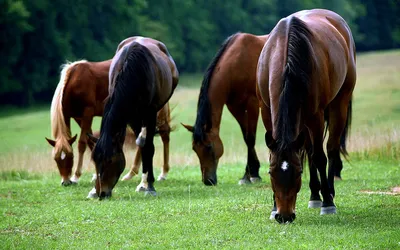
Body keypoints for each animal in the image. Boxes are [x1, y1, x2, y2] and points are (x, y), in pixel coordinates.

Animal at [46, 59, 173, 187]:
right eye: (56, 159)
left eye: (71, 156)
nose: (66, 182)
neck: (74, 82)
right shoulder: (76, 117)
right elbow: (91, 142)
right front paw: (95, 174)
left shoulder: (87, 113)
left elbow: (82, 143)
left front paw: (76, 176)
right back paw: (131, 173)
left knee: (164, 133)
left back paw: (163, 173)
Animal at [90, 36, 179, 199]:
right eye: (95, 160)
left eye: (110, 160)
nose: (102, 193)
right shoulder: (130, 116)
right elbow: (141, 144)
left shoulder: (150, 113)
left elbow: (148, 146)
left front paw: (149, 185)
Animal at [184, 32, 270, 186]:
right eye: (194, 148)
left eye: (209, 146)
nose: (208, 181)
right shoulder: (235, 107)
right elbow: (246, 137)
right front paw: (248, 174)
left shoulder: (252, 104)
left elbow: (250, 138)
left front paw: (252, 175)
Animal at [256, 9, 356, 224]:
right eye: (271, 172)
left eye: (298, 172)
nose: (284, 216)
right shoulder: (266, 111)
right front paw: (273, 207)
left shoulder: (316, 116)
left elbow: (319, 157)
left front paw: (328, 203)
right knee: (309, 150)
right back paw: (314, 196)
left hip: (339, 104)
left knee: (331, 149)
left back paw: (328, 193)